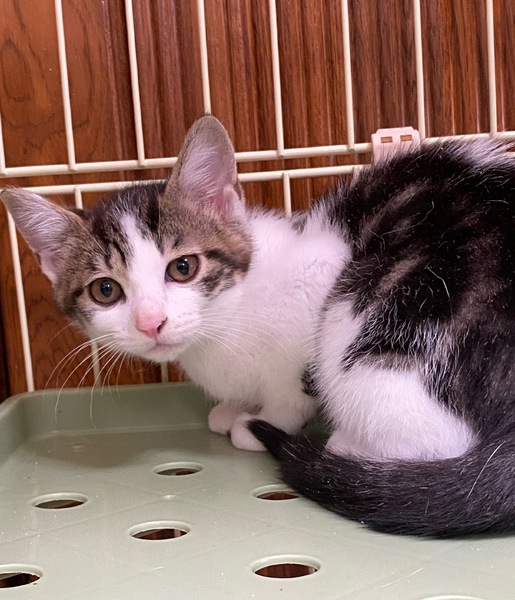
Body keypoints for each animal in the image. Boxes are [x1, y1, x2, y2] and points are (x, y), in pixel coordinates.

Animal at [4, 116, 515, 537]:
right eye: (105, 291)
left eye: (183, 267)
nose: (152, 322)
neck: (225, 323)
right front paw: (233, 407)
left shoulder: (321, 268)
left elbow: (291, 387)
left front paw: (262, 419)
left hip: (369, 314)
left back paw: (345, 446)